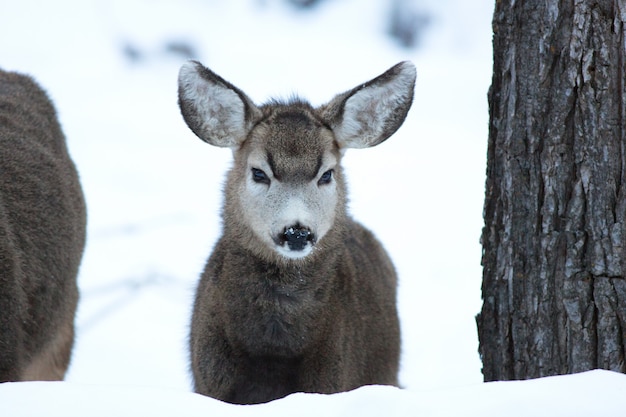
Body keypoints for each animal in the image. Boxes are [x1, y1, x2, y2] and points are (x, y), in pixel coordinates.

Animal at [178, 61, 414, 404]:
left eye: (326, 174)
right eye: (259, 172)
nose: (297, 231)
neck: (274, 350)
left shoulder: (333, 378)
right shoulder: (211, 384)